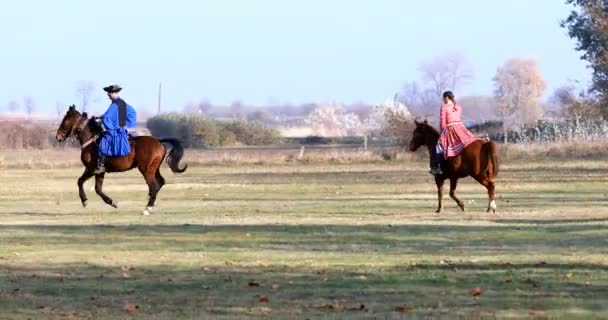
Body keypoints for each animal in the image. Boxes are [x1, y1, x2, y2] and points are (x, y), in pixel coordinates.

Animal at [54, 105, 188, 215]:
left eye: (65, 120)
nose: (58, 136)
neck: (91, 141)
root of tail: (158, 141)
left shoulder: (91, 169)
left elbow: (80, 181)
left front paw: (84, 201)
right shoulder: (99, 172)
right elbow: (97, 189)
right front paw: (112, 202)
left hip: (145, 169)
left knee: (153, 186)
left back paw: (147, 208)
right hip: (154, 168)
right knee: (160, 182)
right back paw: (151, 202)